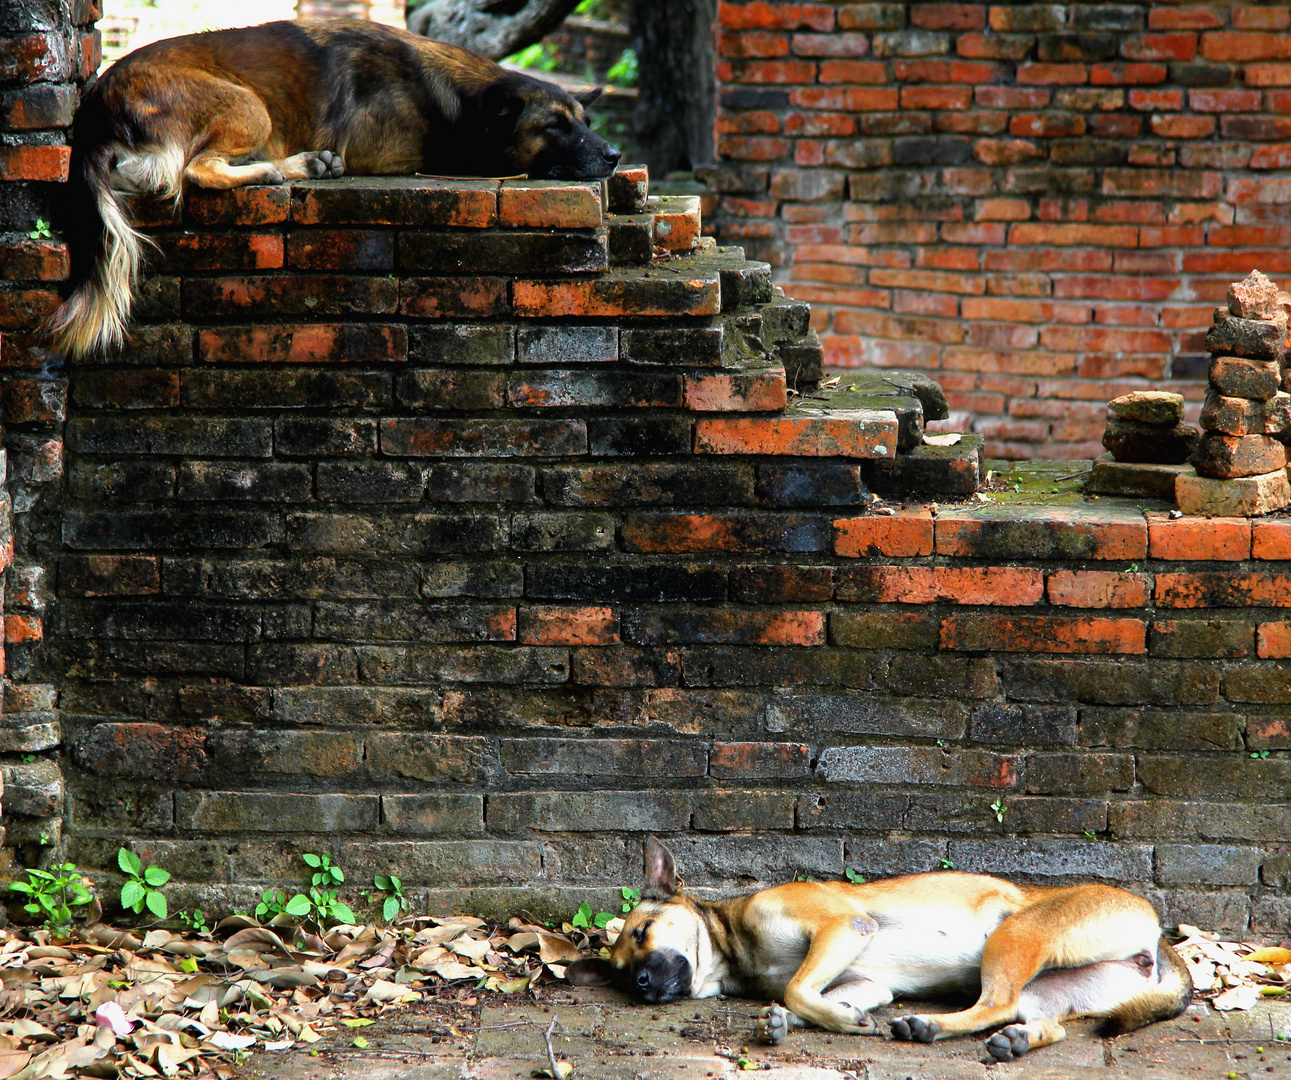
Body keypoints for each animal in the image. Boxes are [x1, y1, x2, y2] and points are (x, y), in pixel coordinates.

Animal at [45, 18, 619, 358]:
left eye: (584, 121)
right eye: (555, 126)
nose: (614, 156)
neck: (455, 98)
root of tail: (95, 107)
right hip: (247, 103)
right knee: (195, 170)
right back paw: (280, 168)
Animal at [570, 836, 1192, 1058]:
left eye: (643, 933)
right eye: (619, 973)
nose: (640, 984)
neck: (734, 951)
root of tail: (1159, 936)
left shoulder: (844, 928)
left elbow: (798, 989)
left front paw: (833, 1021)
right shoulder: (865, 980)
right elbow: (815, 996)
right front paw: (795, 1021)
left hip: (1016, 934)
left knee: (995, 1003)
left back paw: (930, 1026)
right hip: (1053, 989)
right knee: (1034, 1018)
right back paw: (1017, 1040)